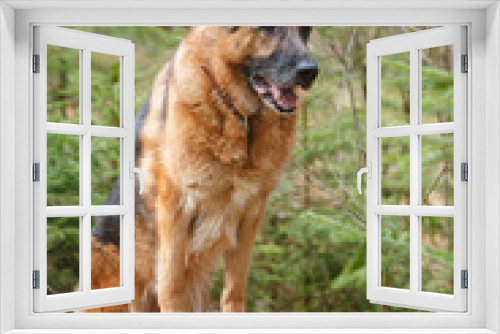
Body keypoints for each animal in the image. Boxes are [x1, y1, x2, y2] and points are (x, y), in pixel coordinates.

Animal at [88, 26, 318, 314]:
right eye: (266, 29)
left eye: (306, 30)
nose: (311, 72)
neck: (237, 115)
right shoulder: (175, 208)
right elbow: (171, 289)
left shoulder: (251, 212)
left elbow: (234, 291)